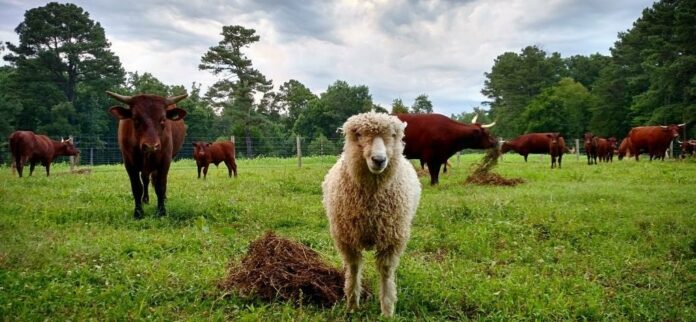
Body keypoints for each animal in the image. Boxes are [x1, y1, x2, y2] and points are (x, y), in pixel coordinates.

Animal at [107, 90, 188, 219]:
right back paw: (145, 199)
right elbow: (137, 187)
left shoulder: (165, 160)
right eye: (135, 119)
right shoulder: (129, 163)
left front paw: (161, 211)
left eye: (163, 120)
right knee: (145, 180)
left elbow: (161, 186)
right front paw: (138, 212)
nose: (151, 146)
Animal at [322, 111, 424, 316]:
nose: (379, 160)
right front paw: (352, 306)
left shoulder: (391, 240)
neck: (371, 202)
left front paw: (387, 311)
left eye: (393, 135)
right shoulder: (348, 240)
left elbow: (385, 273)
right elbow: (353, 269)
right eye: (359, 134)